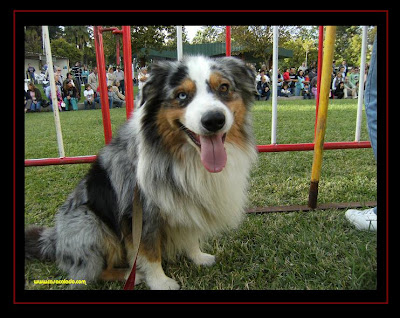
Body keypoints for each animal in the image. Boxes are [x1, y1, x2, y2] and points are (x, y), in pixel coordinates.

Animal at [25, 56, 256, 290]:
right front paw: (160, 282)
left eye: (224, 88)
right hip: (89, 224)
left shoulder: (189, 204)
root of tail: (54, 240)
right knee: (94, 272)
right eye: (182, 95)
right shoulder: (141, 213)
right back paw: (130, 275)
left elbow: (191, 234)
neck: (186, 156)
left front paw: (198, 257)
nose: (214, 120)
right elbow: (149, 251)